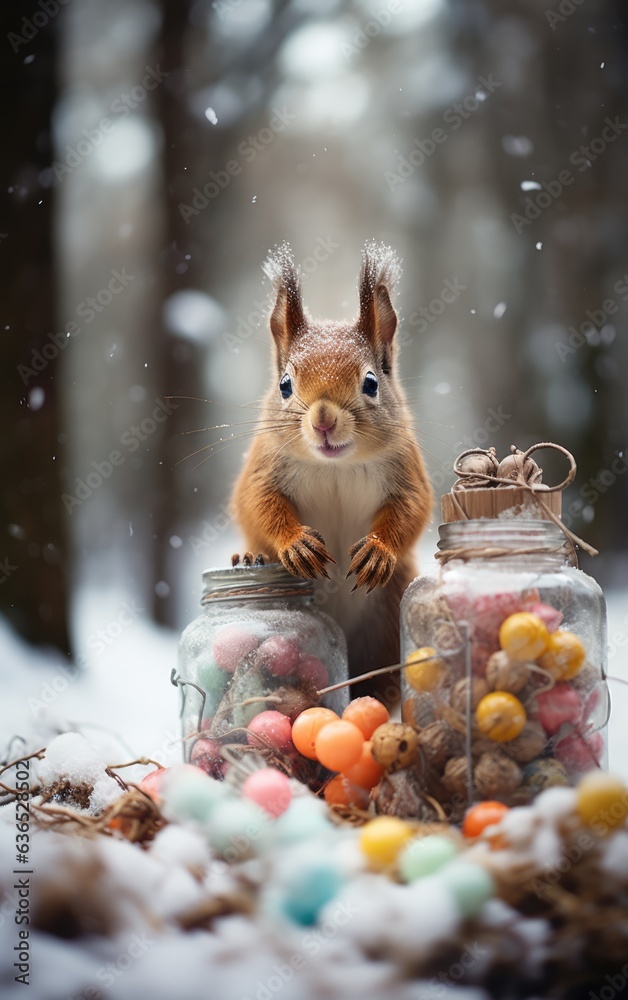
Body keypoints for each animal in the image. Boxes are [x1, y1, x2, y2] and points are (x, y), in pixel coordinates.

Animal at [233, 242, 434, 696]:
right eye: (285, 385)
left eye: (372, 383)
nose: (323, 420)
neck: (335, 467)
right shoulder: (263, 468)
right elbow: (258, 505)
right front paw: (297, 545)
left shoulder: (406, 470)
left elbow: (411, 510)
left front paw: (377, 551)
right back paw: (247, 558)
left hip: (388, 618)